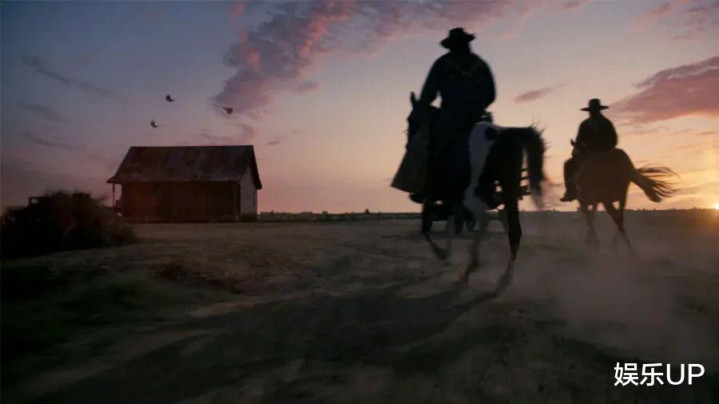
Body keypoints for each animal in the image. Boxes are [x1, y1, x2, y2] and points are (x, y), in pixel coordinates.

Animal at [404, 92, 546, 285]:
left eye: (411, 119)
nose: (408, 144)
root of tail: (503, 134)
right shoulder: (453, 200)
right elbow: (449, 226)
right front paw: (447, 254)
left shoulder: (436, 195)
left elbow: (427, 223)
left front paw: (441, 253)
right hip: (508, 188)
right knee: (513, 230)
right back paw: (504, 277)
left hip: (475, 193)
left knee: (485, 220)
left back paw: (473, 265)